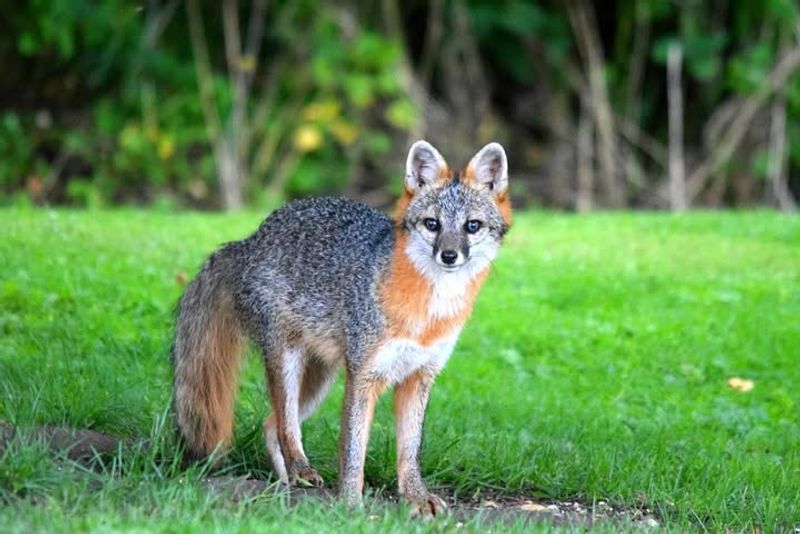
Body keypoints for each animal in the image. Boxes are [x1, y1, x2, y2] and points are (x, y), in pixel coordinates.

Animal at [171, 140, 511, 516]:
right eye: (432, 224)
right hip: (288, 362)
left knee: (271, 425)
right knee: (285, 426)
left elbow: (410, 451)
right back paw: (299, 470)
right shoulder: (363, 375)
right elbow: (353, 450)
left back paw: (286, 482)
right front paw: (350, 504)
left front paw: (416, 497)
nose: (449, 256)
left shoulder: (419, 376)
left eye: (472, 226)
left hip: (321, 378)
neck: (428, 315)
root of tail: (248, 241)